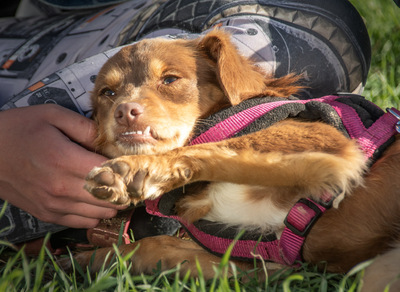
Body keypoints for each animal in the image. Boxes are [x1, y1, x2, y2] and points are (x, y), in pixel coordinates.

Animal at [65, 30, 400, 292]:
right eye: (108, 93)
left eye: (170, 79)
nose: (124, 111)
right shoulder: (261, 267)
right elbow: (155, 247)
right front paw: (91, 259)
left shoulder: (326, 143)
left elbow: (216, 146)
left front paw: (136, 171)